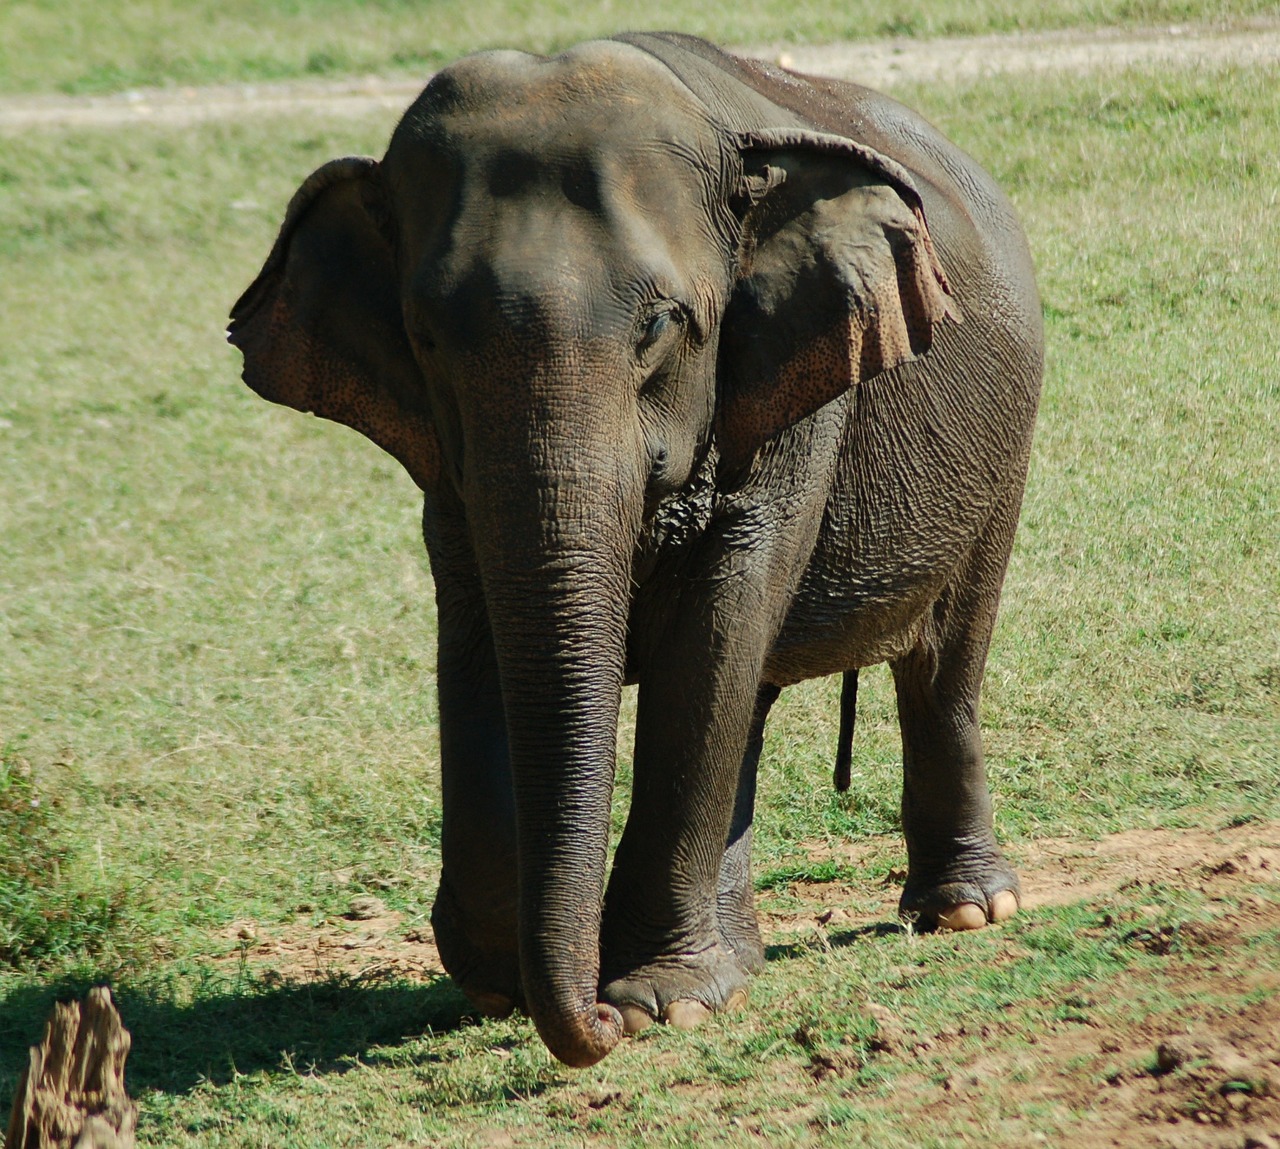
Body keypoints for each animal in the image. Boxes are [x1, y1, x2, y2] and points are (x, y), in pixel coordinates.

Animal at [230, 33, 1044, 1064]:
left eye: (662, 325)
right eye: (425, 337)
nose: (599, 1022)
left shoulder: (793, 392)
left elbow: (714, 626)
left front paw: (661, 1002)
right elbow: (480, 633)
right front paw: (501, 977)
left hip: (1005, 450)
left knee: (942, 659)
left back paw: (966, 910)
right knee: (753, 699)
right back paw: (744, 954)